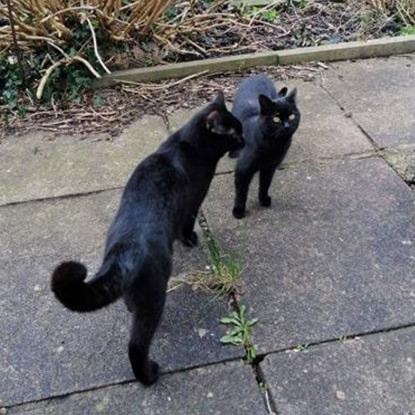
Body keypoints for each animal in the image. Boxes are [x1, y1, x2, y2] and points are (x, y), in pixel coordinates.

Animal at [52, 91, 247, 386]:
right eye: (235, 132)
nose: (245, 140)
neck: (187, 144)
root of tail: (123, 253)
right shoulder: (193, 202)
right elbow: (187, 224)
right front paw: (190, 239)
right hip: (154, 297)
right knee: (137, 344)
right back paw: (148, 375)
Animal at [231, 74, 302, 219]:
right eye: (276, 119)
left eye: (292, 116)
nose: (286, 126)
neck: (273, 146)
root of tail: (258, 75)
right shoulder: (243, 170)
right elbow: (241, 192)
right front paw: (238, 210)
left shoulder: (269, 168)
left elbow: (265, 185)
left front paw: (263, 200)